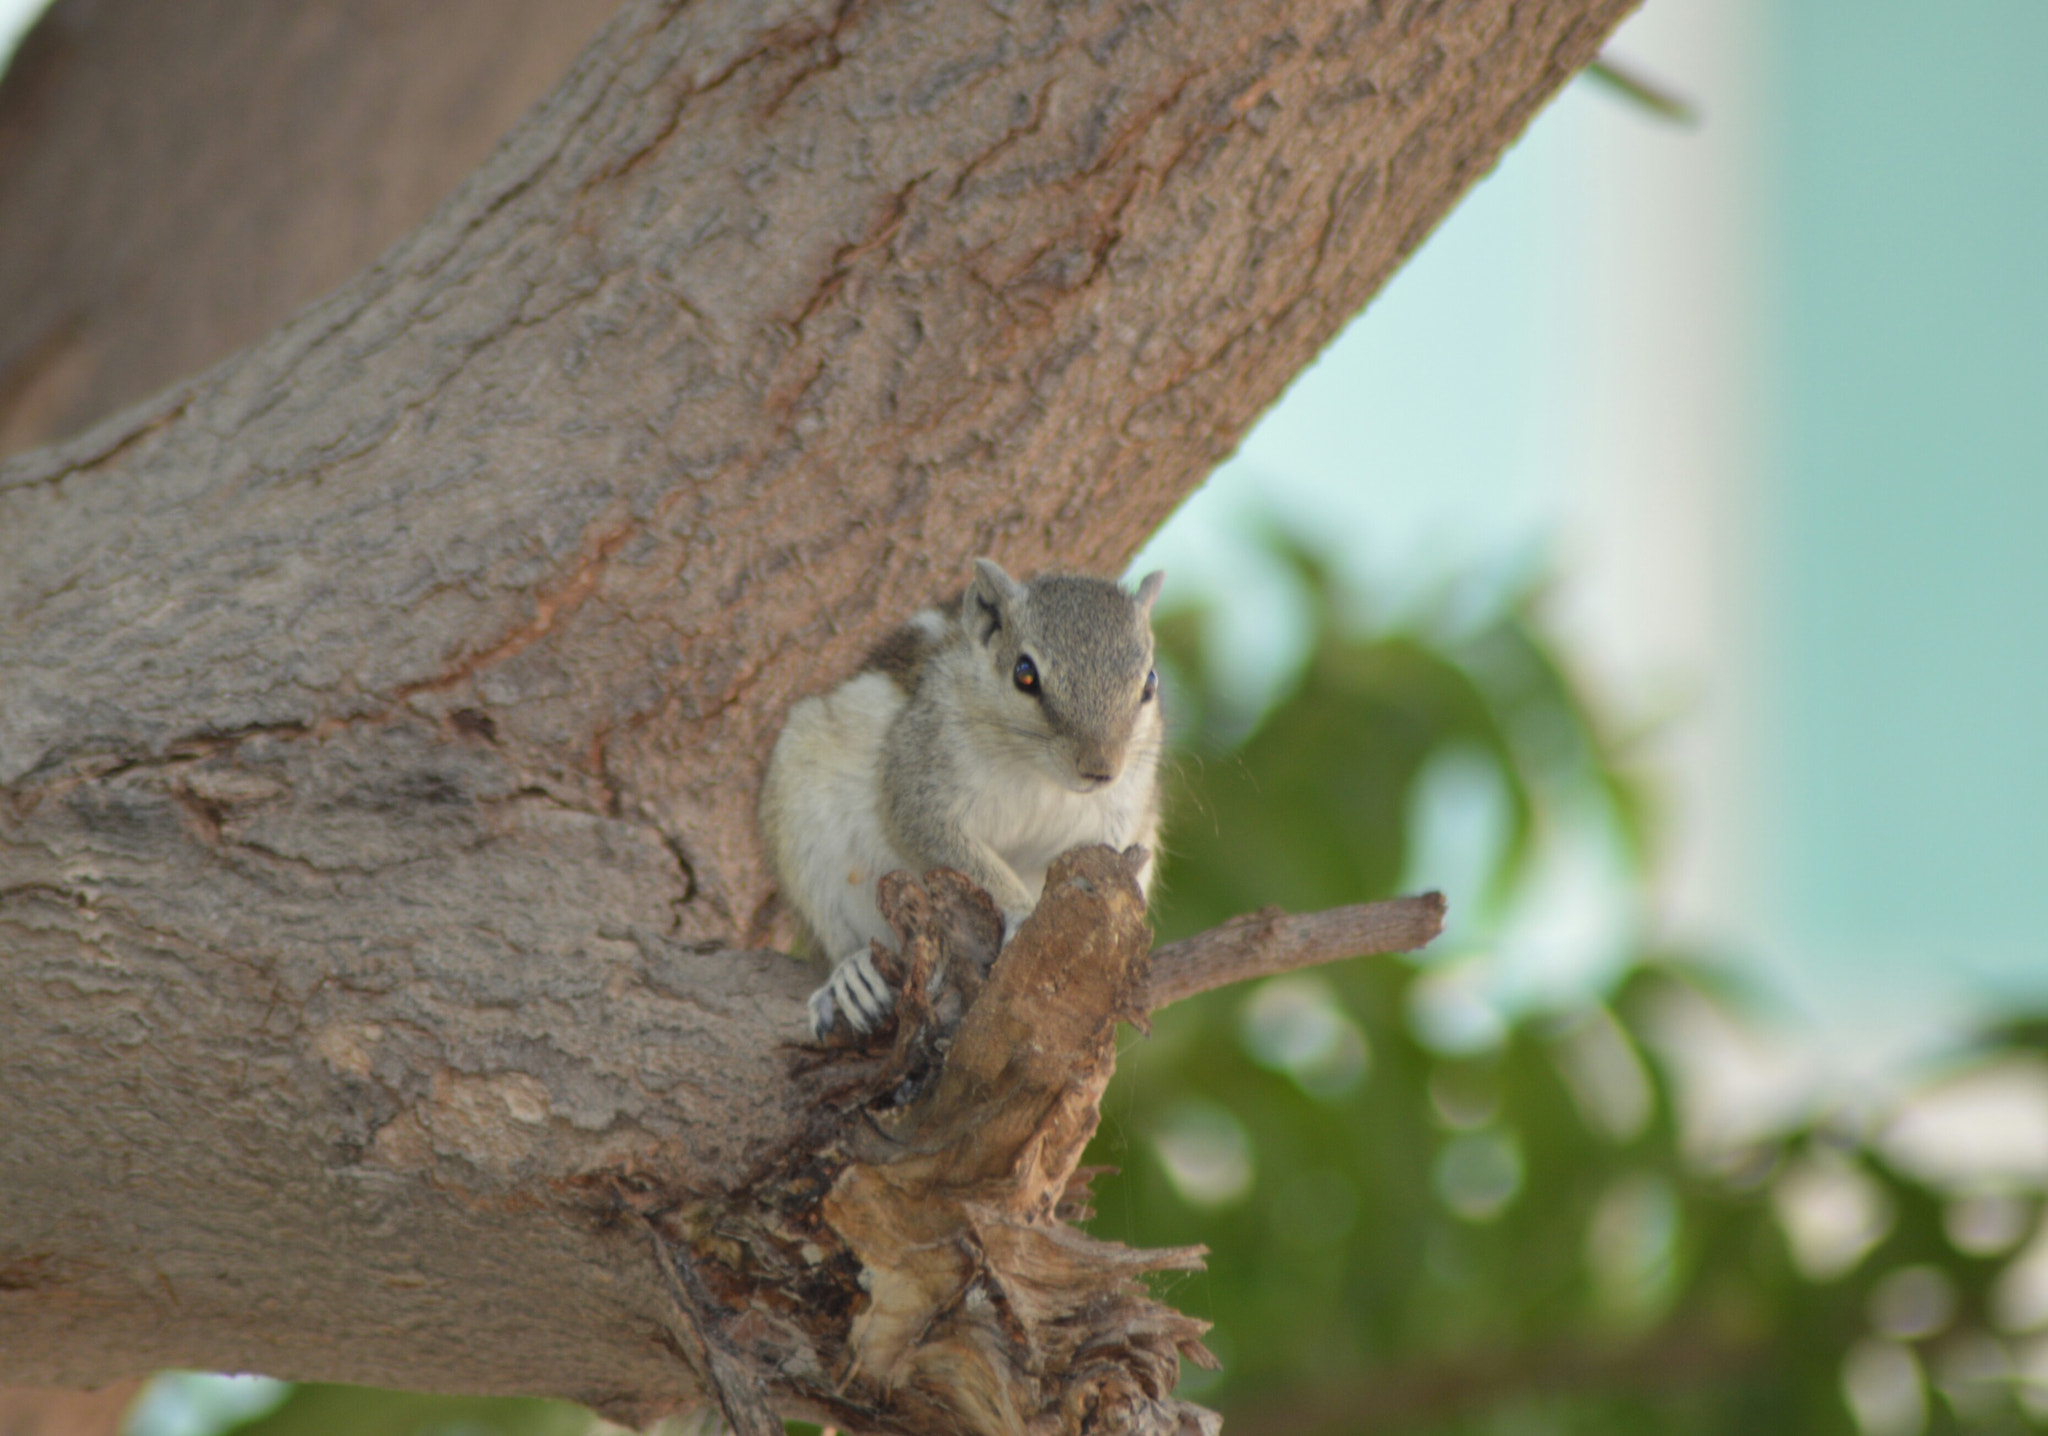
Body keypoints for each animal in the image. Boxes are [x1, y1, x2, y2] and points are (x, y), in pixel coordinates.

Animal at [760, 557, 1166, 1038]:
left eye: (1150, 683)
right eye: (1025, 674)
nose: (1100, 768)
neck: (1039, 774)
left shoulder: (1121, 814)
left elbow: (1104, 857)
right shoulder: (920, 782)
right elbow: (955, 852)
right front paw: (1023, 915)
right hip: (805, 825)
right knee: (835, 933)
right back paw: (851, 975)